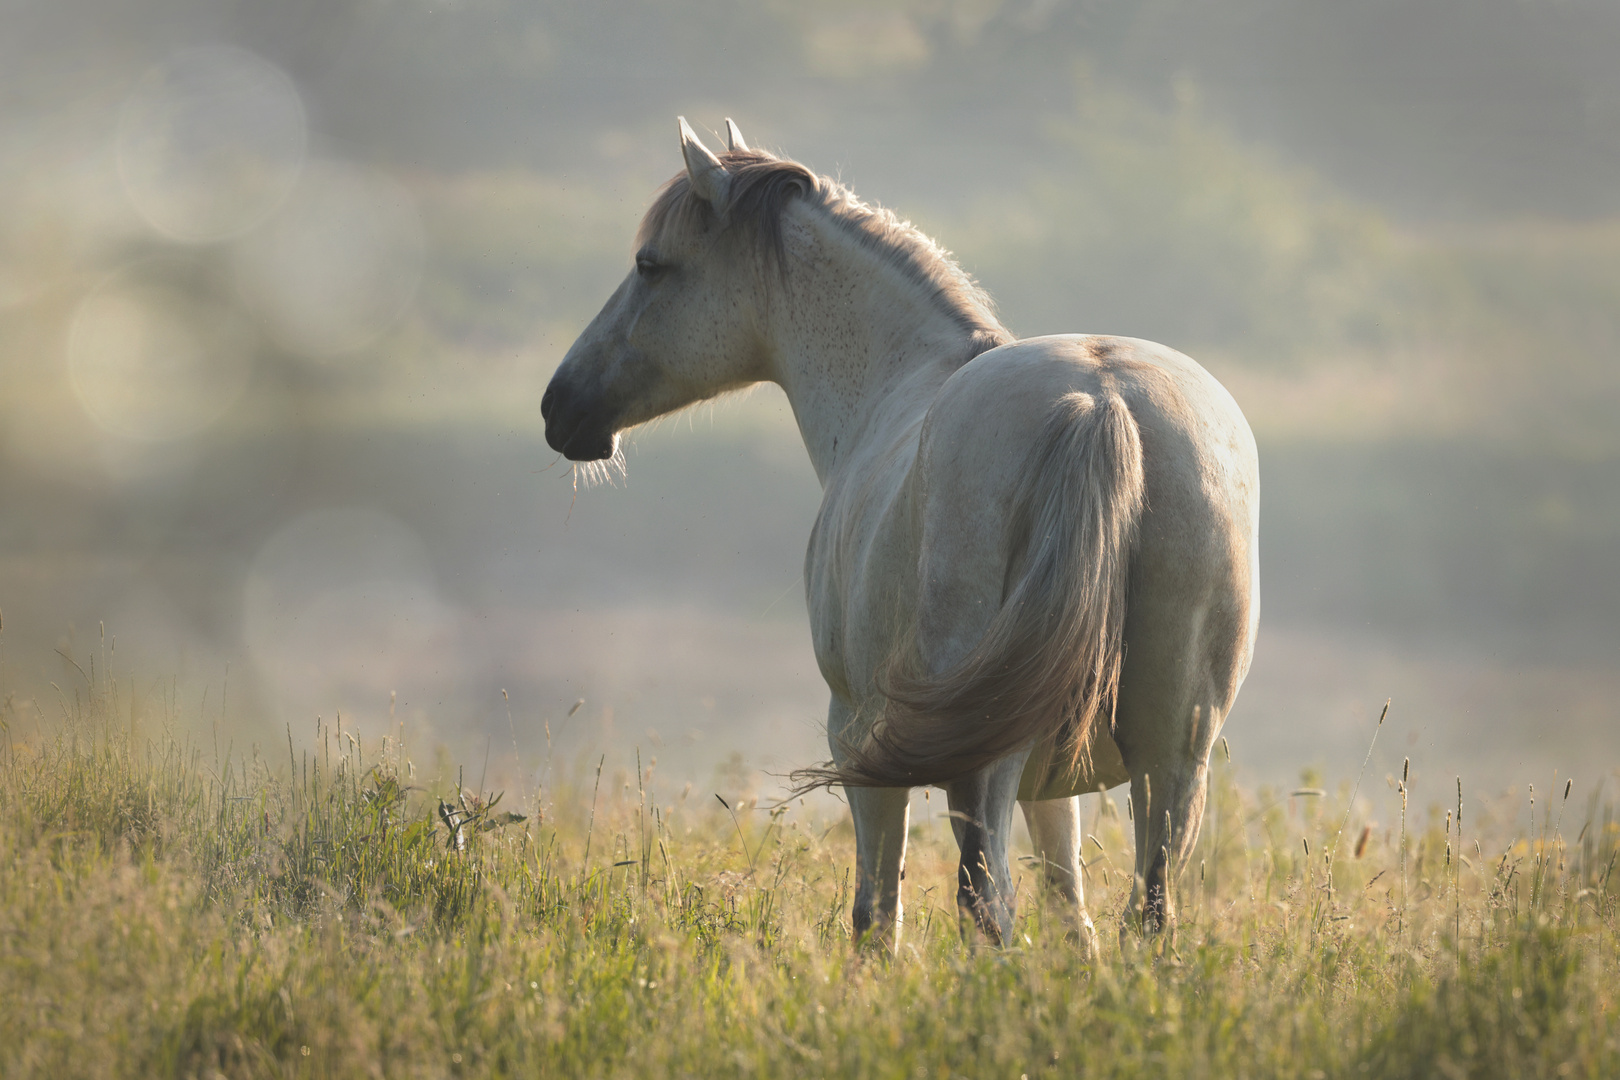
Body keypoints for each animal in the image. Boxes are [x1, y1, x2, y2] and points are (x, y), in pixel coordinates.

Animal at [537, 118, 1257, 958]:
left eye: (651, 265)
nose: (559, 406)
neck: (894, 383)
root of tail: (1097, 399)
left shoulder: (855, 740)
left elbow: (876, 916)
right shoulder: (1054, 781)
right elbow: (1070, 911)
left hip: (987, 761)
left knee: (987, 903)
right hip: (1173, 759)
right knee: (1147, 913)